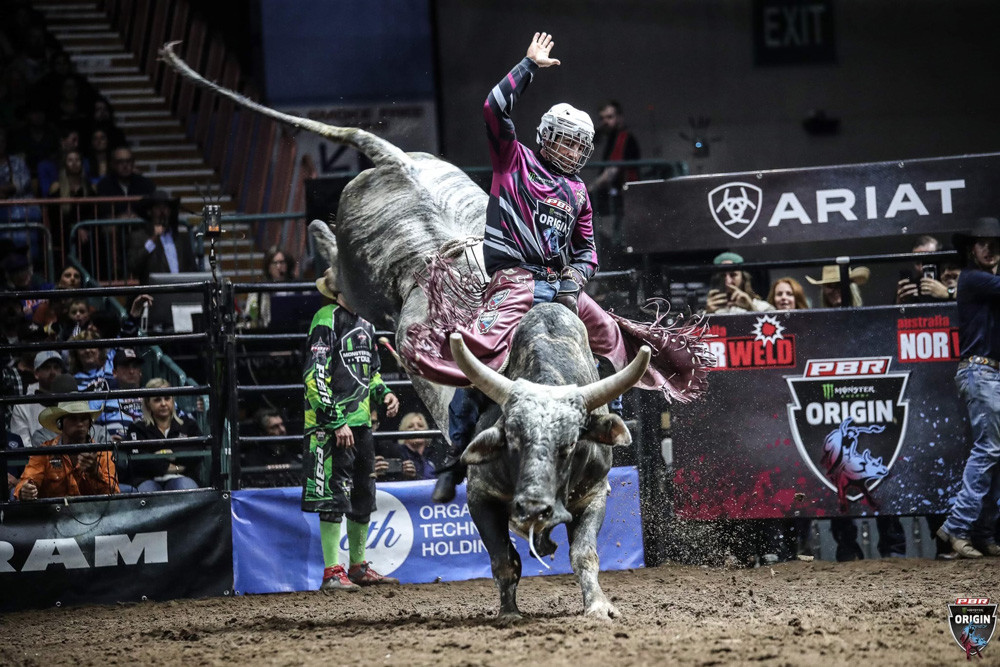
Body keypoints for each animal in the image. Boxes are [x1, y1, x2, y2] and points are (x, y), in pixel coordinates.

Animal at [162, 43, 712, 620]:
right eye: (513, 438)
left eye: (566, 446)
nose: (533, 506)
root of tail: (396, 160)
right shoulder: (482, 494)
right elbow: (502, 558)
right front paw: (509, 611)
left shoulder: (596, 492)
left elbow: (584, 552)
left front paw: (598, 607)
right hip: (362, 277)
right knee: (333, 264)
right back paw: (318, 255)